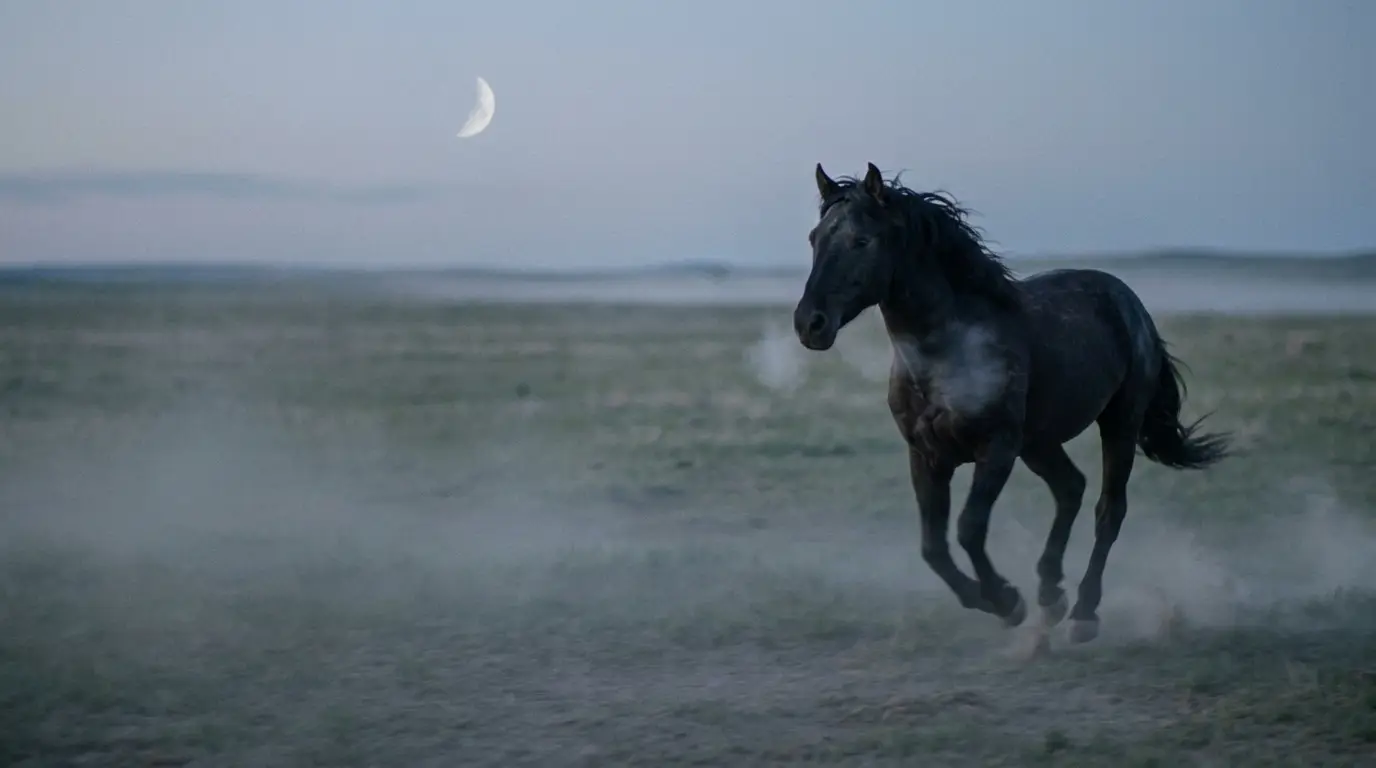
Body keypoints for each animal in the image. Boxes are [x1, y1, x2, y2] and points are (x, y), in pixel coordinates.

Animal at [793, 162, 1230, 643]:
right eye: (814, 238)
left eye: (862, 241)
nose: (810, 324)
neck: (947, 355)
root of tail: (1130, 302)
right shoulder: (926, 456)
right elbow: (932, 547)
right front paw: (995, 600)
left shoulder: (996, 449)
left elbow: (968, 529)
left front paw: (1007, 601)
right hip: (1038, 442)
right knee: (1071, 488)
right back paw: (1050, 593)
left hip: (1119, 422)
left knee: (1108, 509)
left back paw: (1082, 613)